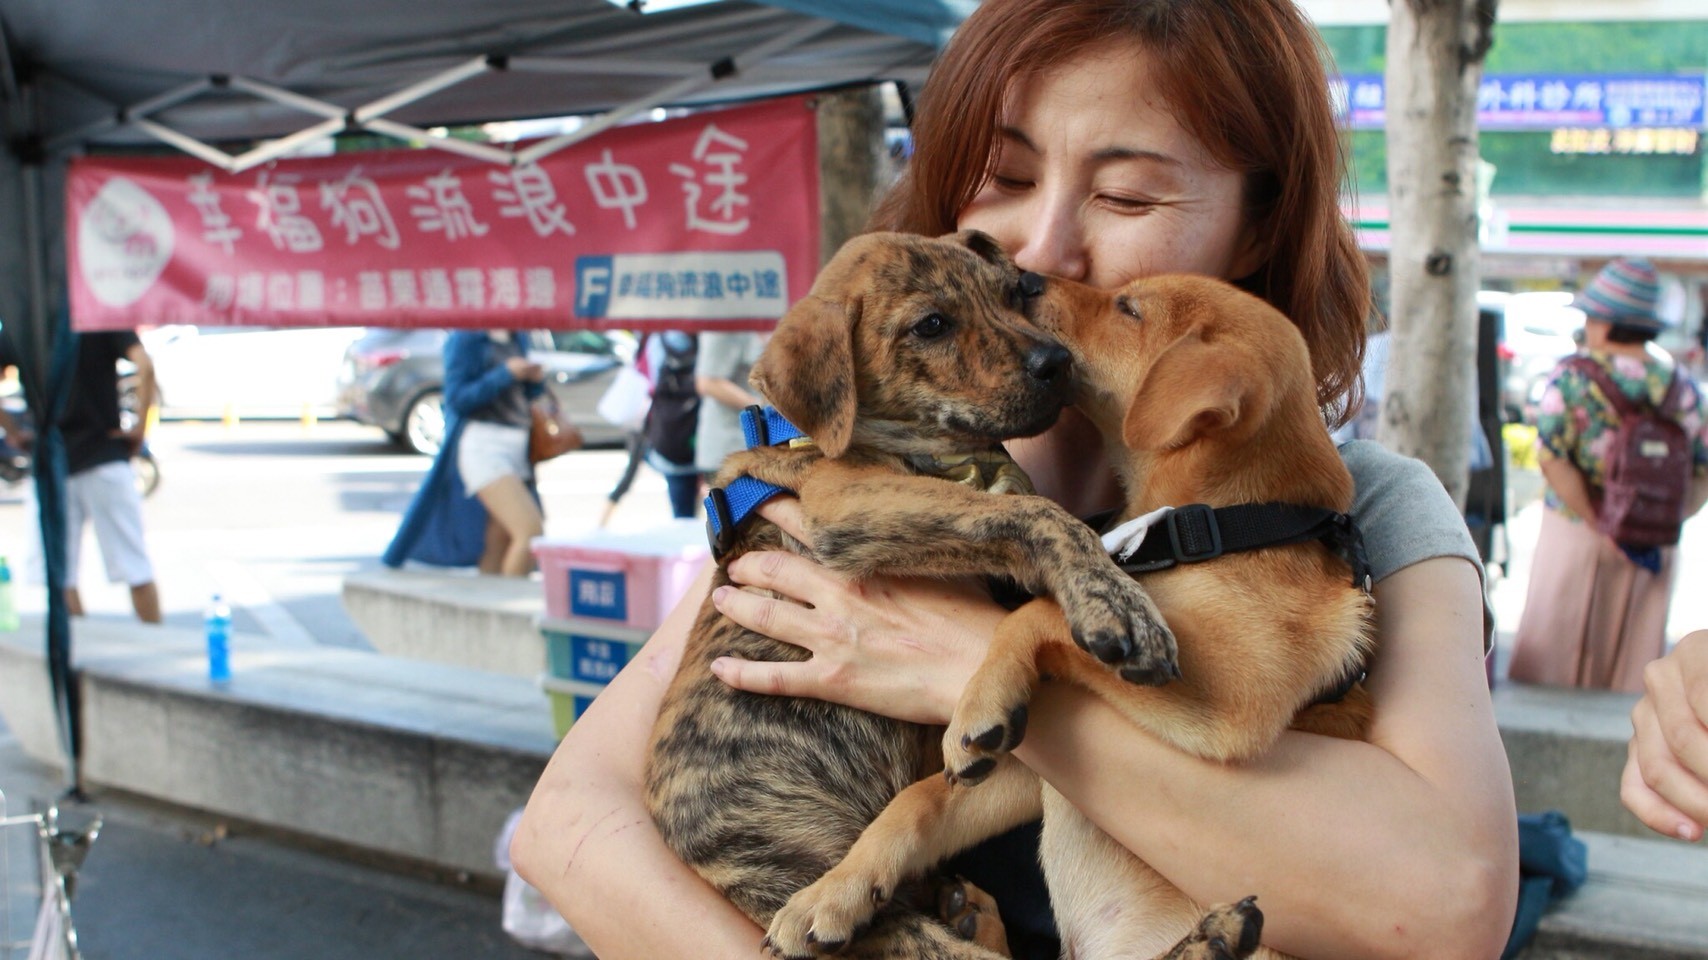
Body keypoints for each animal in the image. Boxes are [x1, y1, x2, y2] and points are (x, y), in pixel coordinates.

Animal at [642, 232, 1175, 956]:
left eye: (1012, 292)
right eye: (931, 326)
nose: (1058, 362)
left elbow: (1022, 516)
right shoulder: (848, 499)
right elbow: (1036, 514)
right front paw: (1115, 601)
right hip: (795, 866)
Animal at [768, 271, 1380, 956]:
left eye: (1129, 308)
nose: (1025, 280)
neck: (1226, 522)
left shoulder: (1239, 693)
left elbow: (1036, 613)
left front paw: (982, 699)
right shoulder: (1036, 776)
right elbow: (918, 802)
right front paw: (831, 893)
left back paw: (1213, 938)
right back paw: (972, 914)